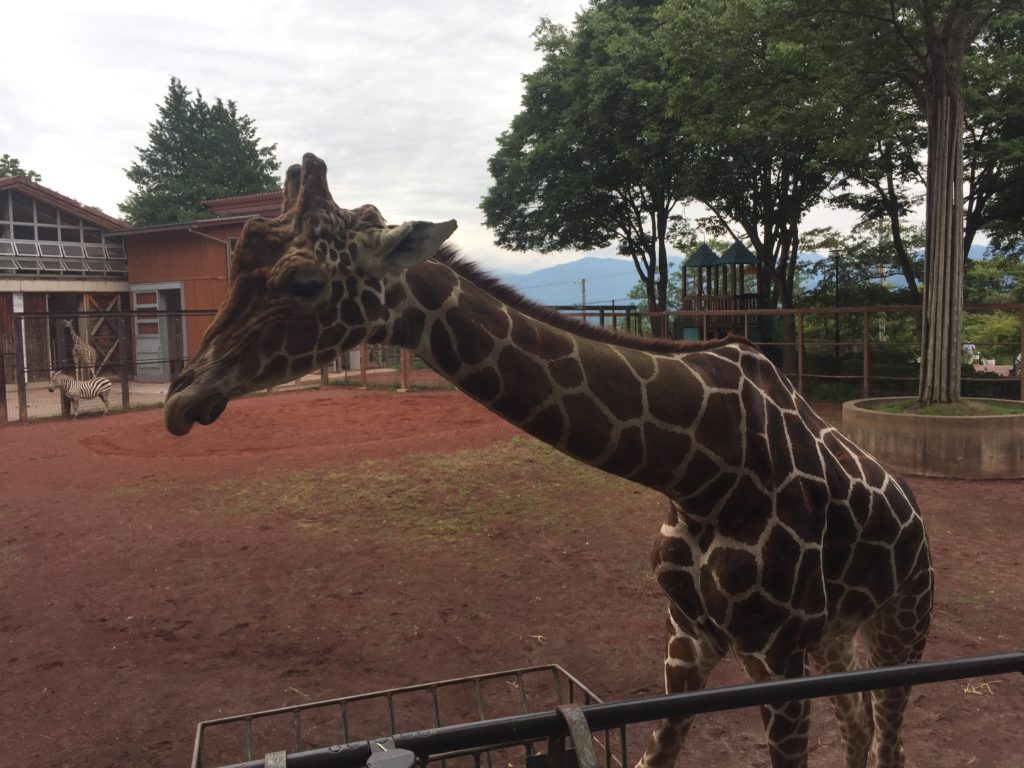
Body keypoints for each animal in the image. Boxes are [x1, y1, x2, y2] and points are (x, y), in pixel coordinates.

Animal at [163, 156, 933, 768]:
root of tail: (917, 513)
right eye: (237, 264)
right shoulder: (688, 638)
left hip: (900, 628)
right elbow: (654, 757)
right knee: (859, 732)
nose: (181, 395)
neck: (702, 469)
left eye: (302, 282)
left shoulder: (776, 653)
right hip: (837, 638)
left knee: (889, 741)